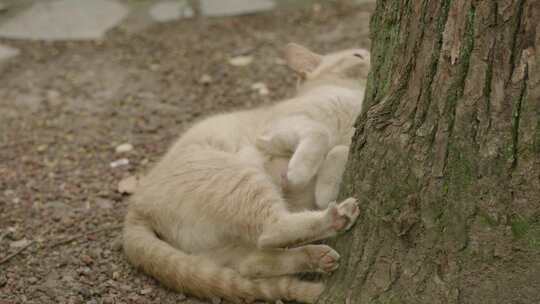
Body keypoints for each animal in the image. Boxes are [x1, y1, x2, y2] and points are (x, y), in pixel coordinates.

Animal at [123, 43, 370, 304]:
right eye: (357, 55)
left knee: (253, 262)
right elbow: (321, 135)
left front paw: (324, 185)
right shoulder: (277, 130)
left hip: (223, 243)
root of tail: (137, 205)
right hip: (240, 180)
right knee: (270, 231)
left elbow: (341, 150)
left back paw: (316, 255)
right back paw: (335, 218)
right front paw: (300, 174)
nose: (370, 54)